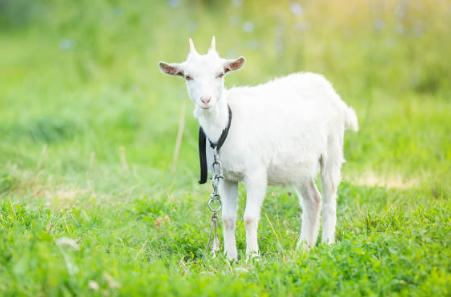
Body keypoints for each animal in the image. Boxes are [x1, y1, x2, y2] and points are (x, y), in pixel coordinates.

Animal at [161, 36, 358, 260]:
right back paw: (303, 247)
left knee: (329, 199)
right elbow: (228, 218)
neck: (227, 125)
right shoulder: (227, 178)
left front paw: (253, 257)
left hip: (332, 151)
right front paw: (230, 257)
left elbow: (249, 217)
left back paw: (327, 244)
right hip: (299, 166)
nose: (206, 100)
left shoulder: (255, 174)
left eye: (221, 74)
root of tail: (334, 96)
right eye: (188, 77)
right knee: (312, 200)